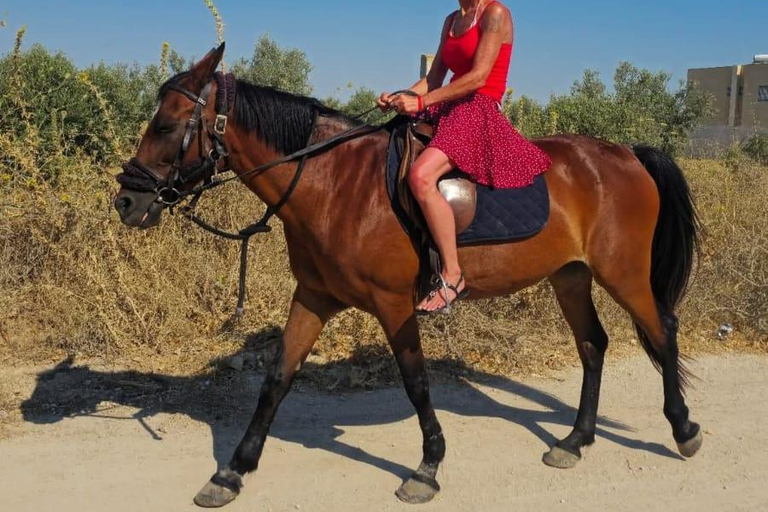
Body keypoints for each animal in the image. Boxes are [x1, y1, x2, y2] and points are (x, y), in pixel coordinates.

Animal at [114, 44, 703, 508]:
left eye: (165, 125)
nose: (126, 201)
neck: (335, 183)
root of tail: (627, 154)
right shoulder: (314, 297)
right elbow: (277, 378)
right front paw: (233, 471)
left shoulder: (394, 303)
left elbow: (416, 381)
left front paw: (428, 467)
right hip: (571, 275)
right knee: (592, 345)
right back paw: (575, 441)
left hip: (623, 274)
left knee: (663, 332)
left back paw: (683, 429)